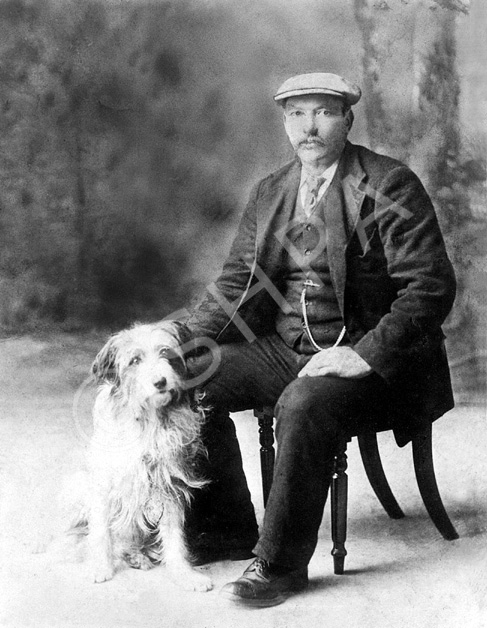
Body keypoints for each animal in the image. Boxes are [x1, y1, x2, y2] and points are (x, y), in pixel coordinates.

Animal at [79, 322, 213, 592]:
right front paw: (100, 566)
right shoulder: (103, 482)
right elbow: (100, 530)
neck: (149, 420)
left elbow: (174, 535)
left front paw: (184, 574)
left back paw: (137, 556)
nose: (160, 382)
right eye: (135, 360)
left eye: (165, 353)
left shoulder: (169, 485)